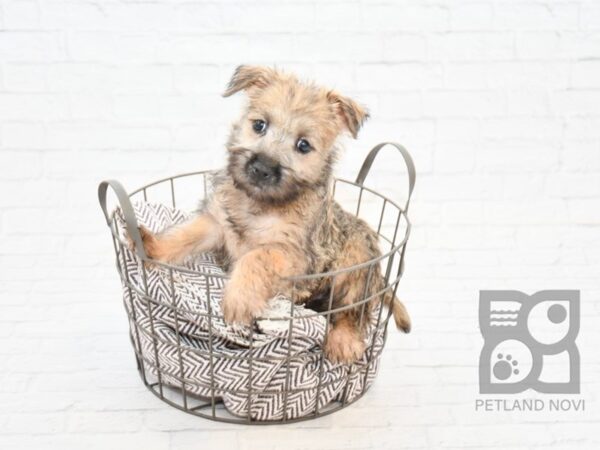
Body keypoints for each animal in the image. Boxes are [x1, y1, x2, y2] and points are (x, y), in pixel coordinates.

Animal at [138, 66, 410, 362]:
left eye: (303, 145)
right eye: (259, 125)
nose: (261, 168)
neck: (260, 204)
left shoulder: (295, 255)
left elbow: (258, 256)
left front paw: (239, 297)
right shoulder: (217, 223)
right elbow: (185, 234)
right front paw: (151, 246)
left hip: (354, 264)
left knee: (352, 309)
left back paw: (343, 341)